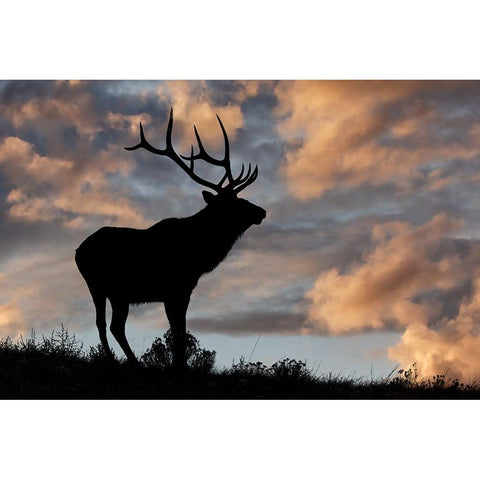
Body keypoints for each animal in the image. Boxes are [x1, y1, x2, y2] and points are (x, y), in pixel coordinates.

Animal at [77, 109, 268, 370]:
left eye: (241, 198)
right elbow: (179, 331)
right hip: (100, 285)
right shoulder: (175, 288)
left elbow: (179, 329)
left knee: (110, 325)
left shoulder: (180, 290)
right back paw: (125, 361)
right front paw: (179, 365)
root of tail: (77, 252)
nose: (261, 212)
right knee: (108, 325)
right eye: (233, 204)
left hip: (115, 293)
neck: (199, 256)